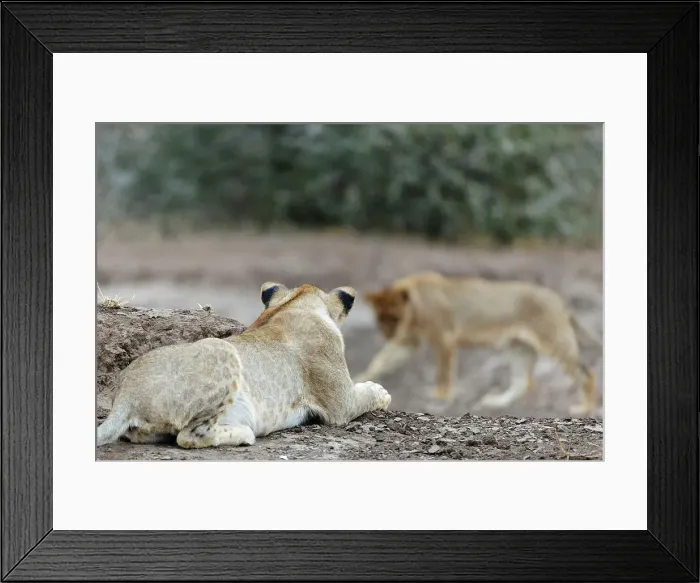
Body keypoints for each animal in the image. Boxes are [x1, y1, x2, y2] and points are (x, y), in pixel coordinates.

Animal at [96, 282, 391, 449]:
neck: (293, 305)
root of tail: (125, 396)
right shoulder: (341, 405)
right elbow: (367, 394)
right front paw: (382, 393)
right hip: (223, 350)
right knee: (188, 436)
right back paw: (243, 433)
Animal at [355, 271, 601, 416]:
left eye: (395, 317)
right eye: (380, 318)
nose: (389, 334)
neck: (416, 309)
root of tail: (558, 299)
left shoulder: (444, 339)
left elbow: (443, 372)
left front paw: (439, 396)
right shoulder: (408, 341)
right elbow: (381, 360)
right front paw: (360, 379)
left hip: (555, 341)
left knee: (586, 373)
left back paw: (584, 409)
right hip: (517, 348)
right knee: (522, 382)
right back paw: (496, 402)